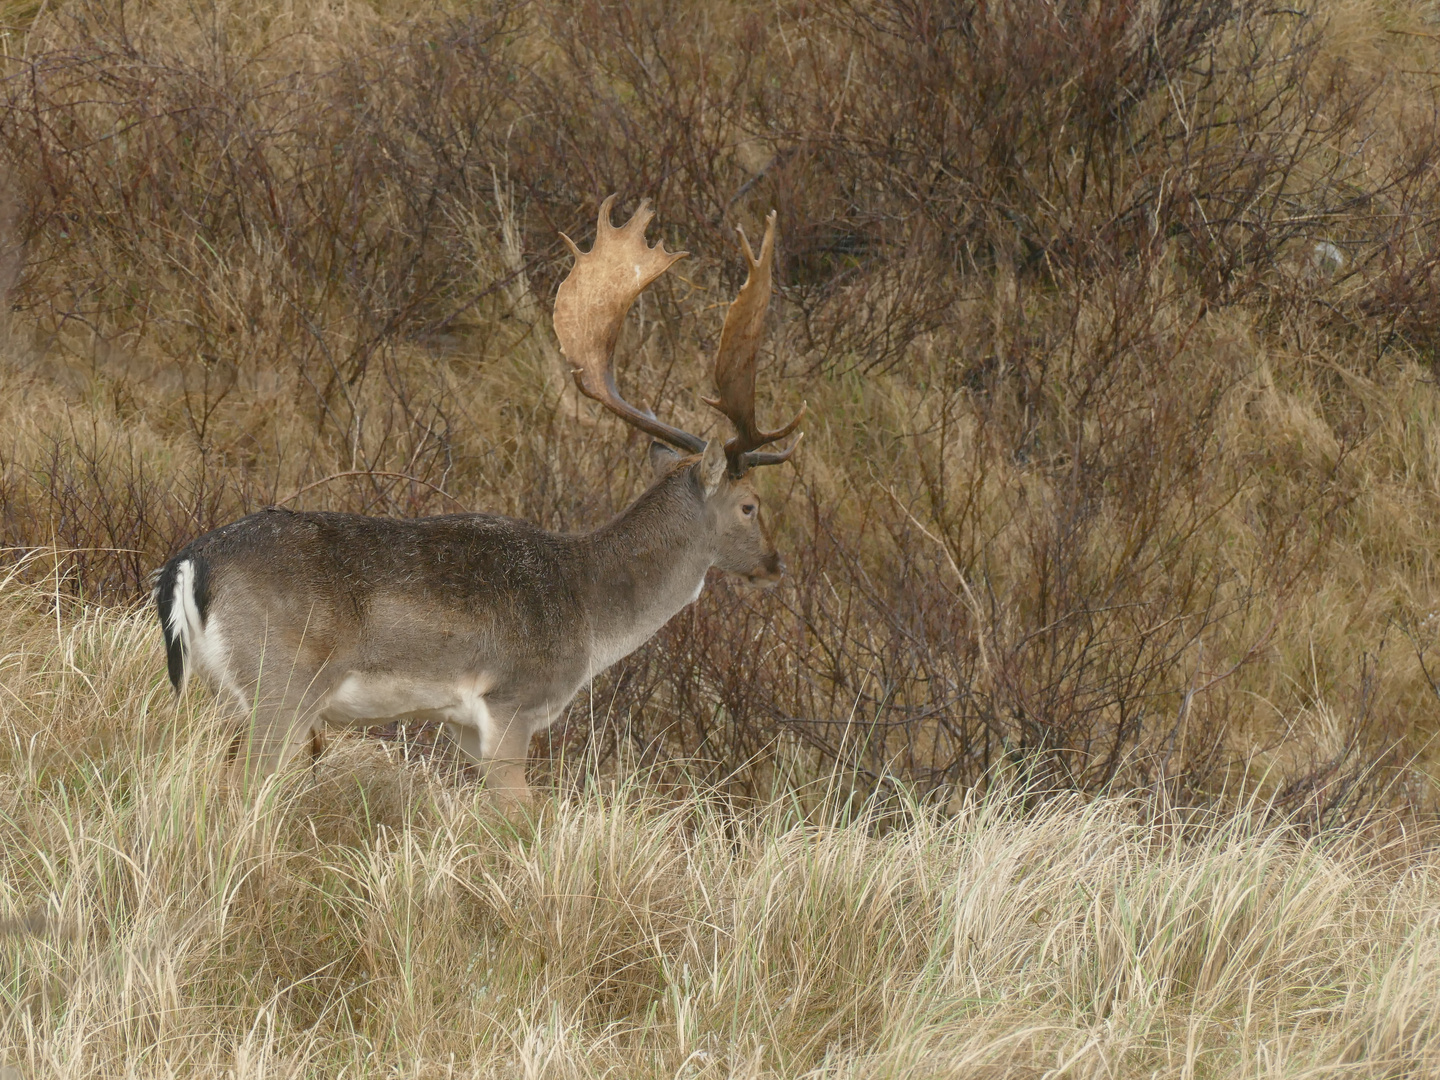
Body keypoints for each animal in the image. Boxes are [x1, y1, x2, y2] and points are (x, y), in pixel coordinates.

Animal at [153, 197, 806, 806]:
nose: (774, 564)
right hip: (281, 683)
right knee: (241, 784)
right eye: (750, 505)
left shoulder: (463, 727)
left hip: (219, 693)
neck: (589, 615)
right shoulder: (512, 701)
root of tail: (189, 563)